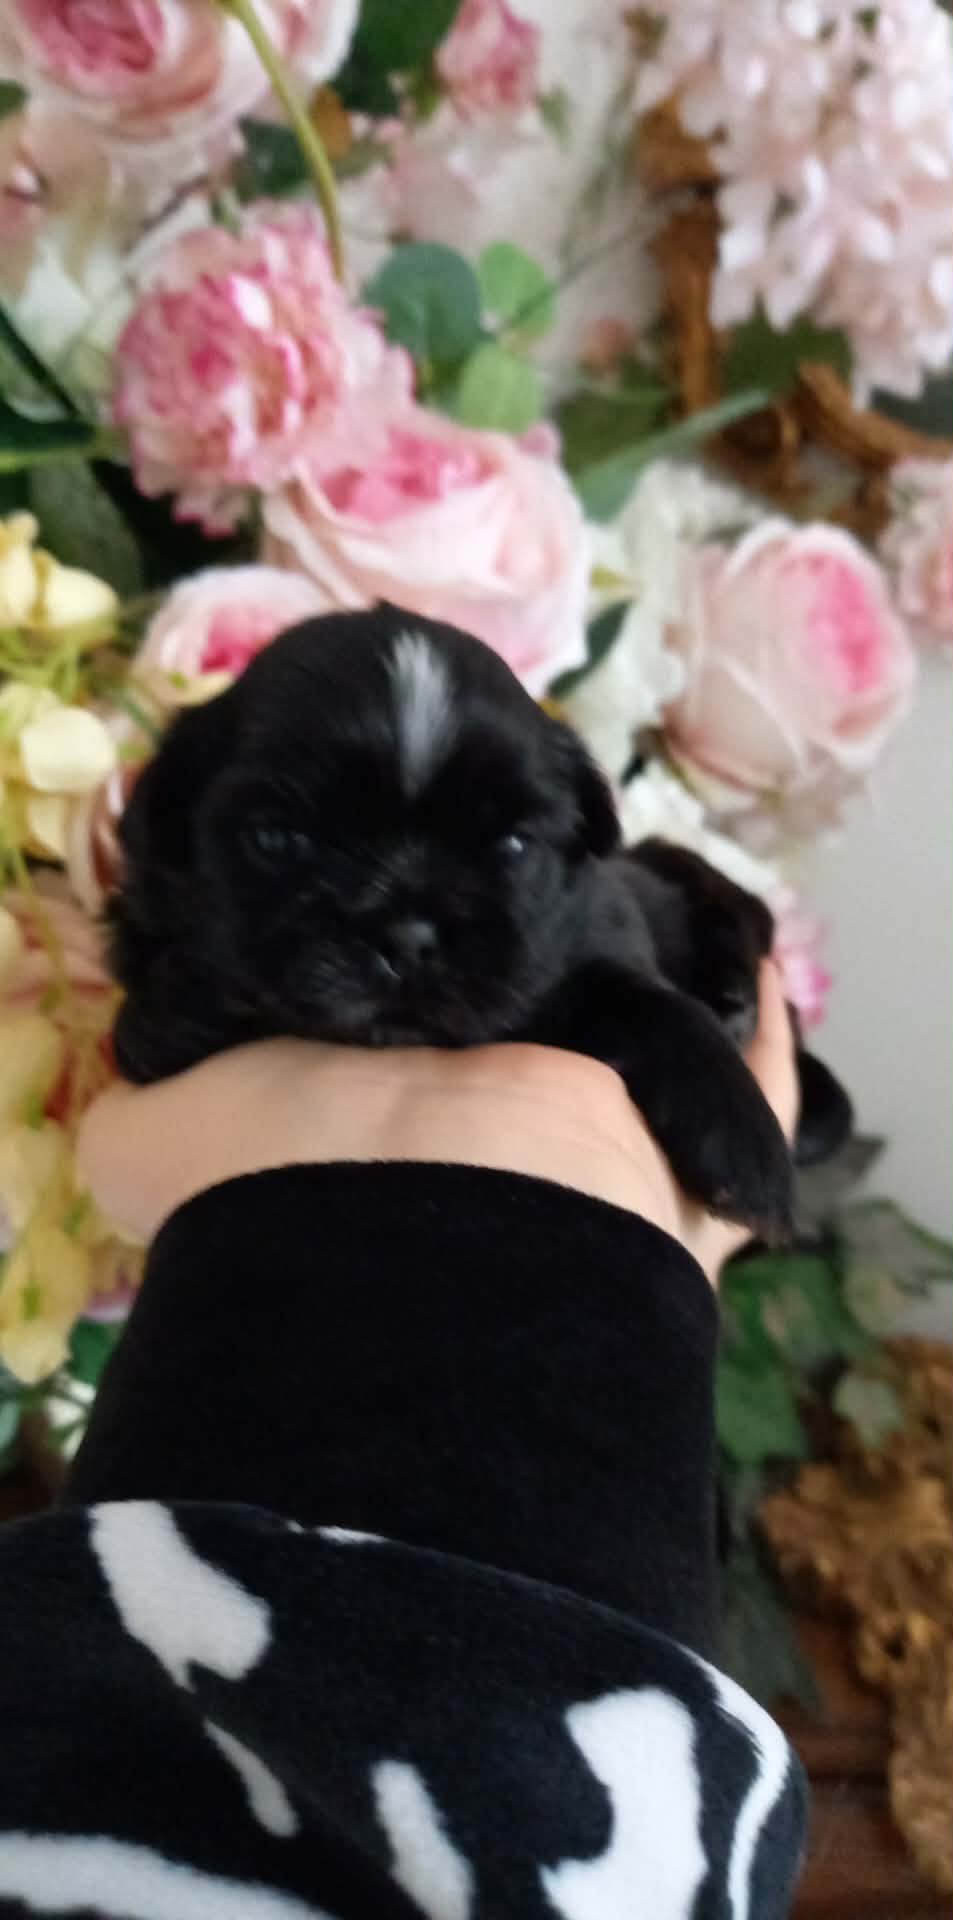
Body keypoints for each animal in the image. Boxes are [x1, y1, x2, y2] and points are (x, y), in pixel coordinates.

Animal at [109, 604, 851, 1236]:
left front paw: (746, 1146)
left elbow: (661, 1007)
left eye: (513, 846)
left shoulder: (596, 942)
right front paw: (189, 995)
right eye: (275, 839)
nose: (406, 937)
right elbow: (150, 1014)